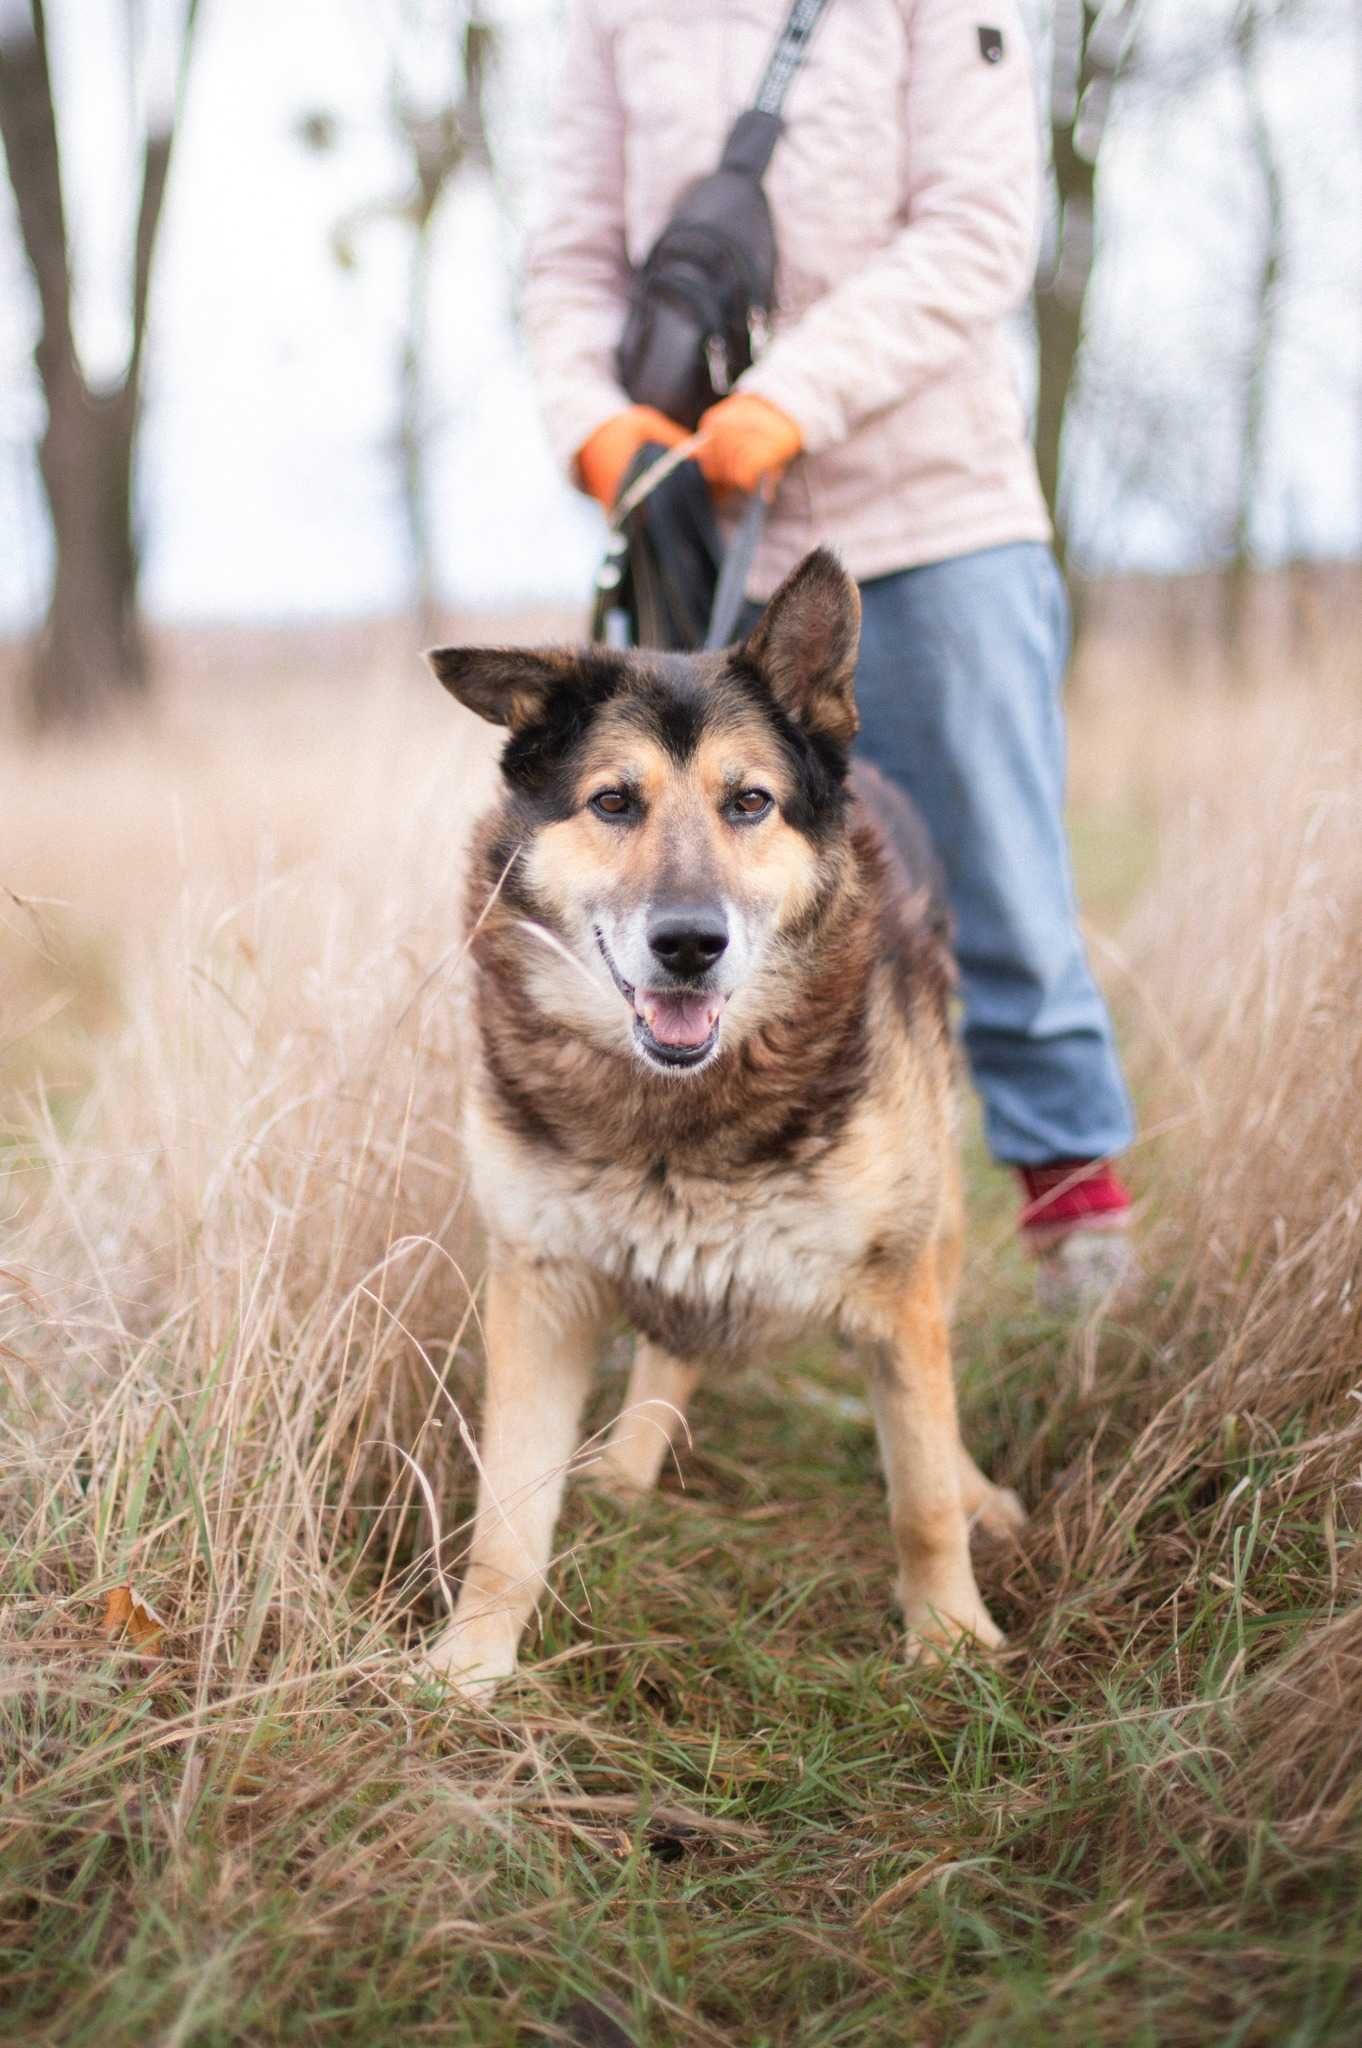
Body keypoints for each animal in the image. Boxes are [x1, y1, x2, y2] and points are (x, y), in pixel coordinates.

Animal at [426, 544, 1019, 1695]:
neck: (677, 1113)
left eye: (750, 802)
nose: (690, 944)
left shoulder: (894, 1291)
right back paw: (628, 1461)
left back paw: (983, 1496)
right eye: (614, 802)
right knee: (672, 1351)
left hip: (939, 1223)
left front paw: (949, 1639)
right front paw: (469, 1663)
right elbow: (505, 1517)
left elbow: (920, 1492)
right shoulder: (538, 1289)